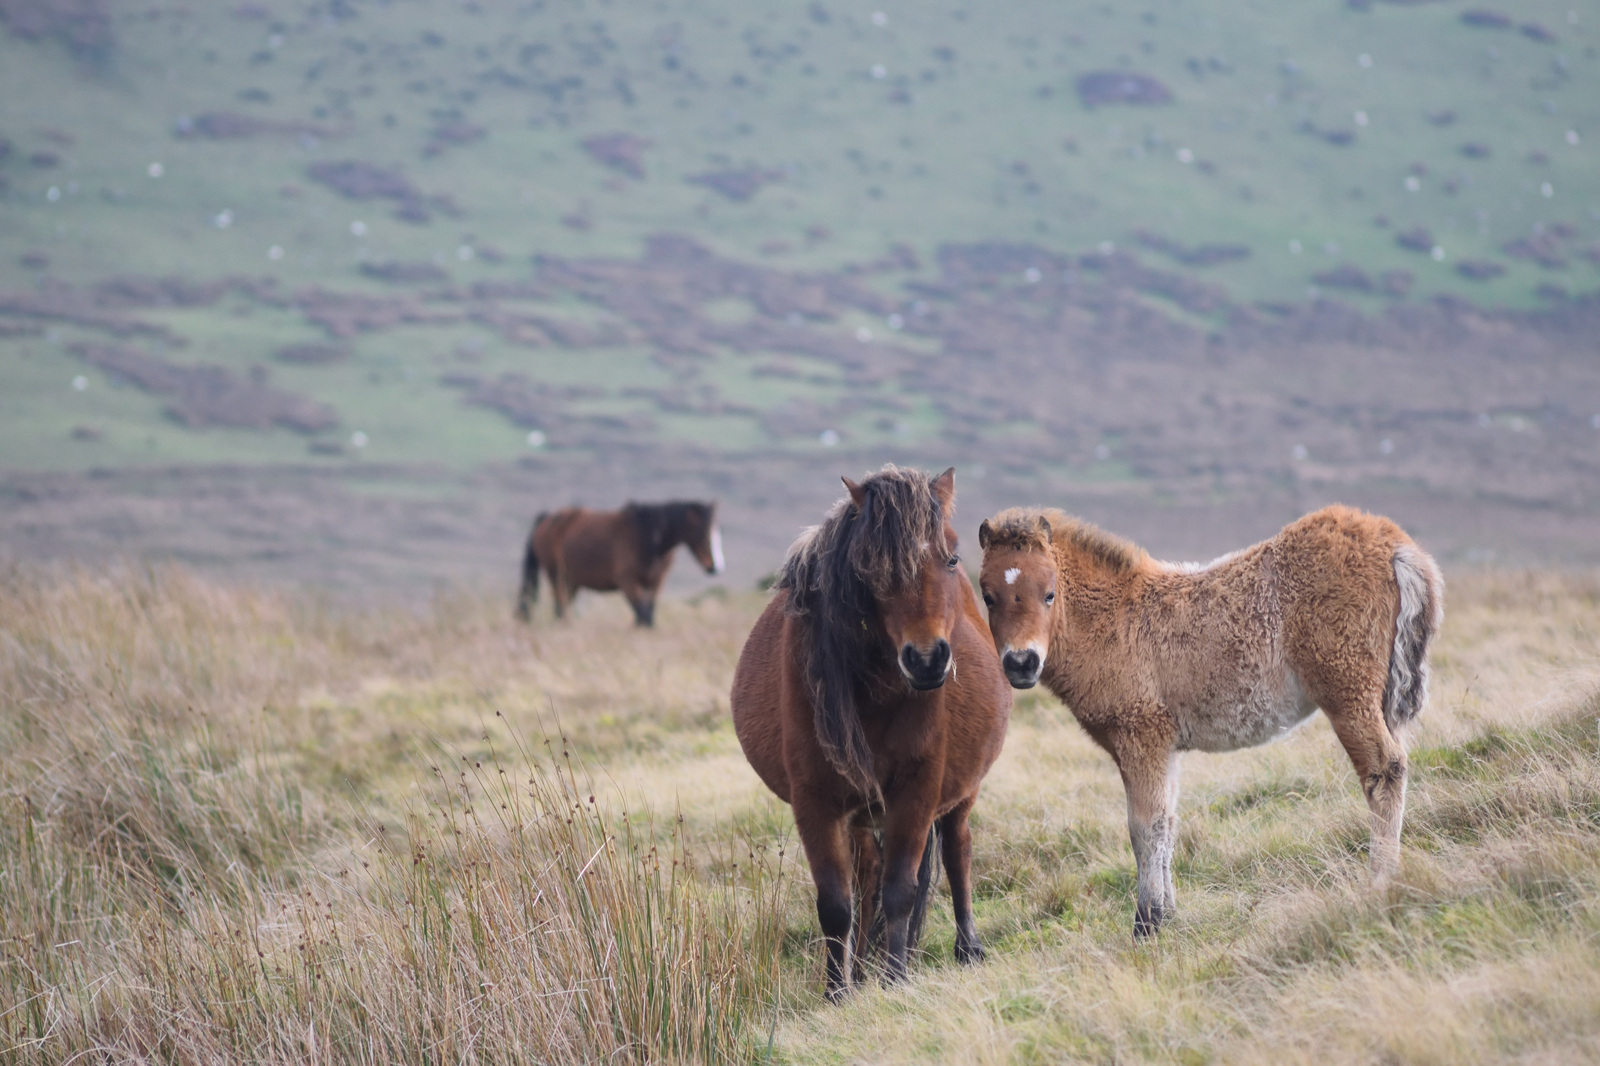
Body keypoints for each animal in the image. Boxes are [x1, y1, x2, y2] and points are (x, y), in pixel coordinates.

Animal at [515, 499, 723, 624]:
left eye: (717, 531)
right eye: (703, 533)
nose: (716, 567)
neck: (649, 538)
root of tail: (548, 516)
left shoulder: (657, 581)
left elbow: (648, 614)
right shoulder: (627, 580)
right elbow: (642, 614)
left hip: (571, 580)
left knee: (563, 606)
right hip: (555, 574)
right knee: (560, 605)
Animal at [732, 464, 1004, 998]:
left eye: (951, 557)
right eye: (870, 570)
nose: (927, 659)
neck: (877, 693)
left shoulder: (917, 793)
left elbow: (901, 891)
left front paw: (896, 979)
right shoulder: (816, 802)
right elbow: (838, 904)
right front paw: (838, 992)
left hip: (960, 797)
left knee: (957, 854)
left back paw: (968, 949)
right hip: (859, 813)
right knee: (865, 875)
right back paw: (858, 967)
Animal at [979, 502, 1446, 934]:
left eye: (1049, 593)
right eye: (986, 596)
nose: (1021, 663)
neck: (1112, 619)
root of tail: (1395, 546)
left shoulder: (1139, 736)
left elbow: (1144, 828)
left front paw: (1146, 924)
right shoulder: (1164, 746)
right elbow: (1167, 823)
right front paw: (1167, 915)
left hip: (1348, 692)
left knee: (1384, 769)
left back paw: (1380, 882)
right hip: (1382, 698)